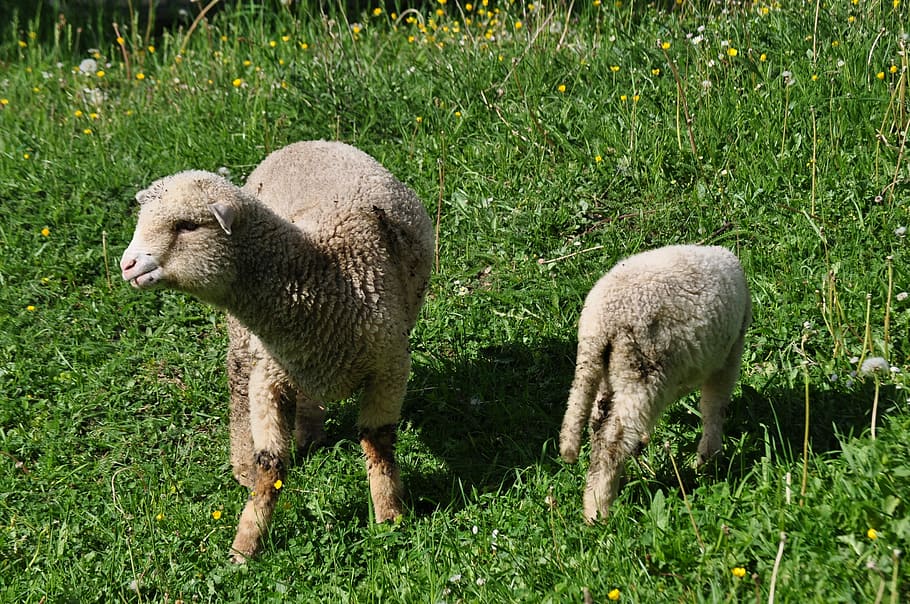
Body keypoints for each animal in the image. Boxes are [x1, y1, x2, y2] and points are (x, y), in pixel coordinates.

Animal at [120, 141, 434, 562]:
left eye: (187, 225)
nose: (127, 265)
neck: (323, 274)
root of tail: (306, 142)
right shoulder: (267, 378)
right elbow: (271, 465)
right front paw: (246, 544)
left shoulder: (389, 369)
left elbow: (378, 444)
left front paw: (389, 517)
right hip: (244, 342)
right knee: (237, 380)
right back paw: (244, 465)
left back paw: (310, 433)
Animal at [559, 244, 751, 523]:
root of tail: (599, 324)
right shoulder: (730, 354)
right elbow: (714, 406)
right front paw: (709, 458)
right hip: (643, 372)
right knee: (613, 441)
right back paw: (599, 512)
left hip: (611, 373)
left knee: (600, 428)